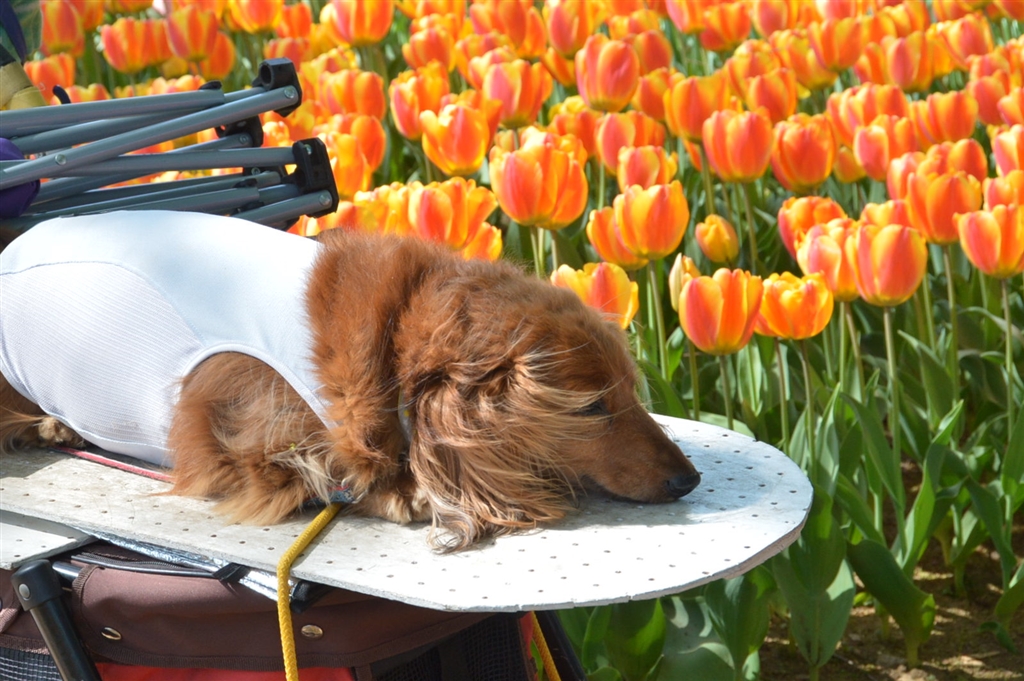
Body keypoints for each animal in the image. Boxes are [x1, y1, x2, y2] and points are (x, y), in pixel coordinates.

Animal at [0, 211, 700, 550]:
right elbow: (319, 467)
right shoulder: (225, 444)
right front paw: (403, 489)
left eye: (631, 391)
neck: (391, 343)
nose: (688, 480)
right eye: (591, 408)